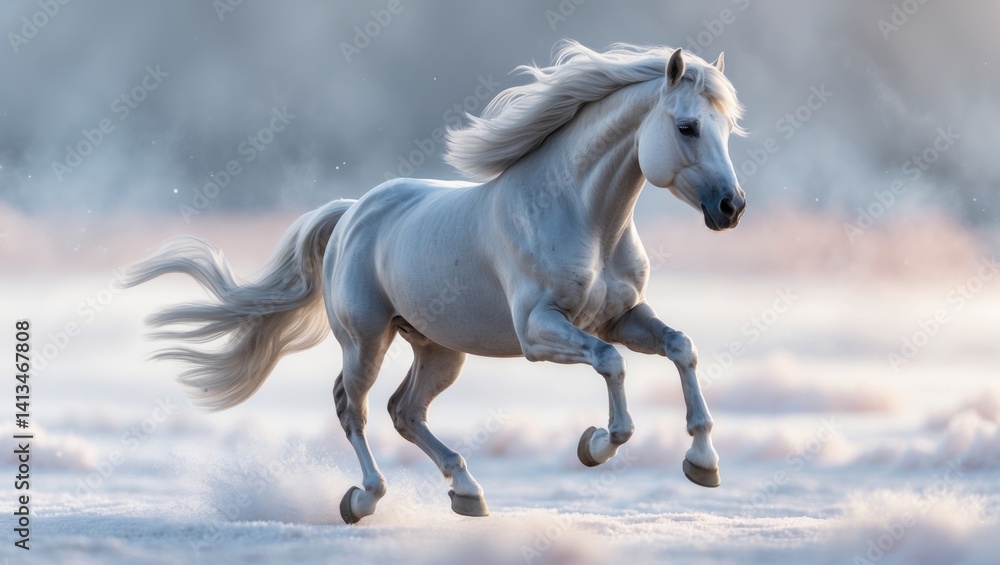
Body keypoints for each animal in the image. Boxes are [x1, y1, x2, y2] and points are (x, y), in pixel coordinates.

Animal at [121, 41, 747, 524]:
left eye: (727, 129)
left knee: (406, 411)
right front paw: (595, 445)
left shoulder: (621, 317)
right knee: (354, 407)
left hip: (440, 349)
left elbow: (680, 347)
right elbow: (611, 364)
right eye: (687, 126)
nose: (731, 207)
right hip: (365, 341)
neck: (581, 215)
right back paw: (363, 500)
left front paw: (703, 463)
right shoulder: (539, 331)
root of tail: (351, 213)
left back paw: (466, 493)